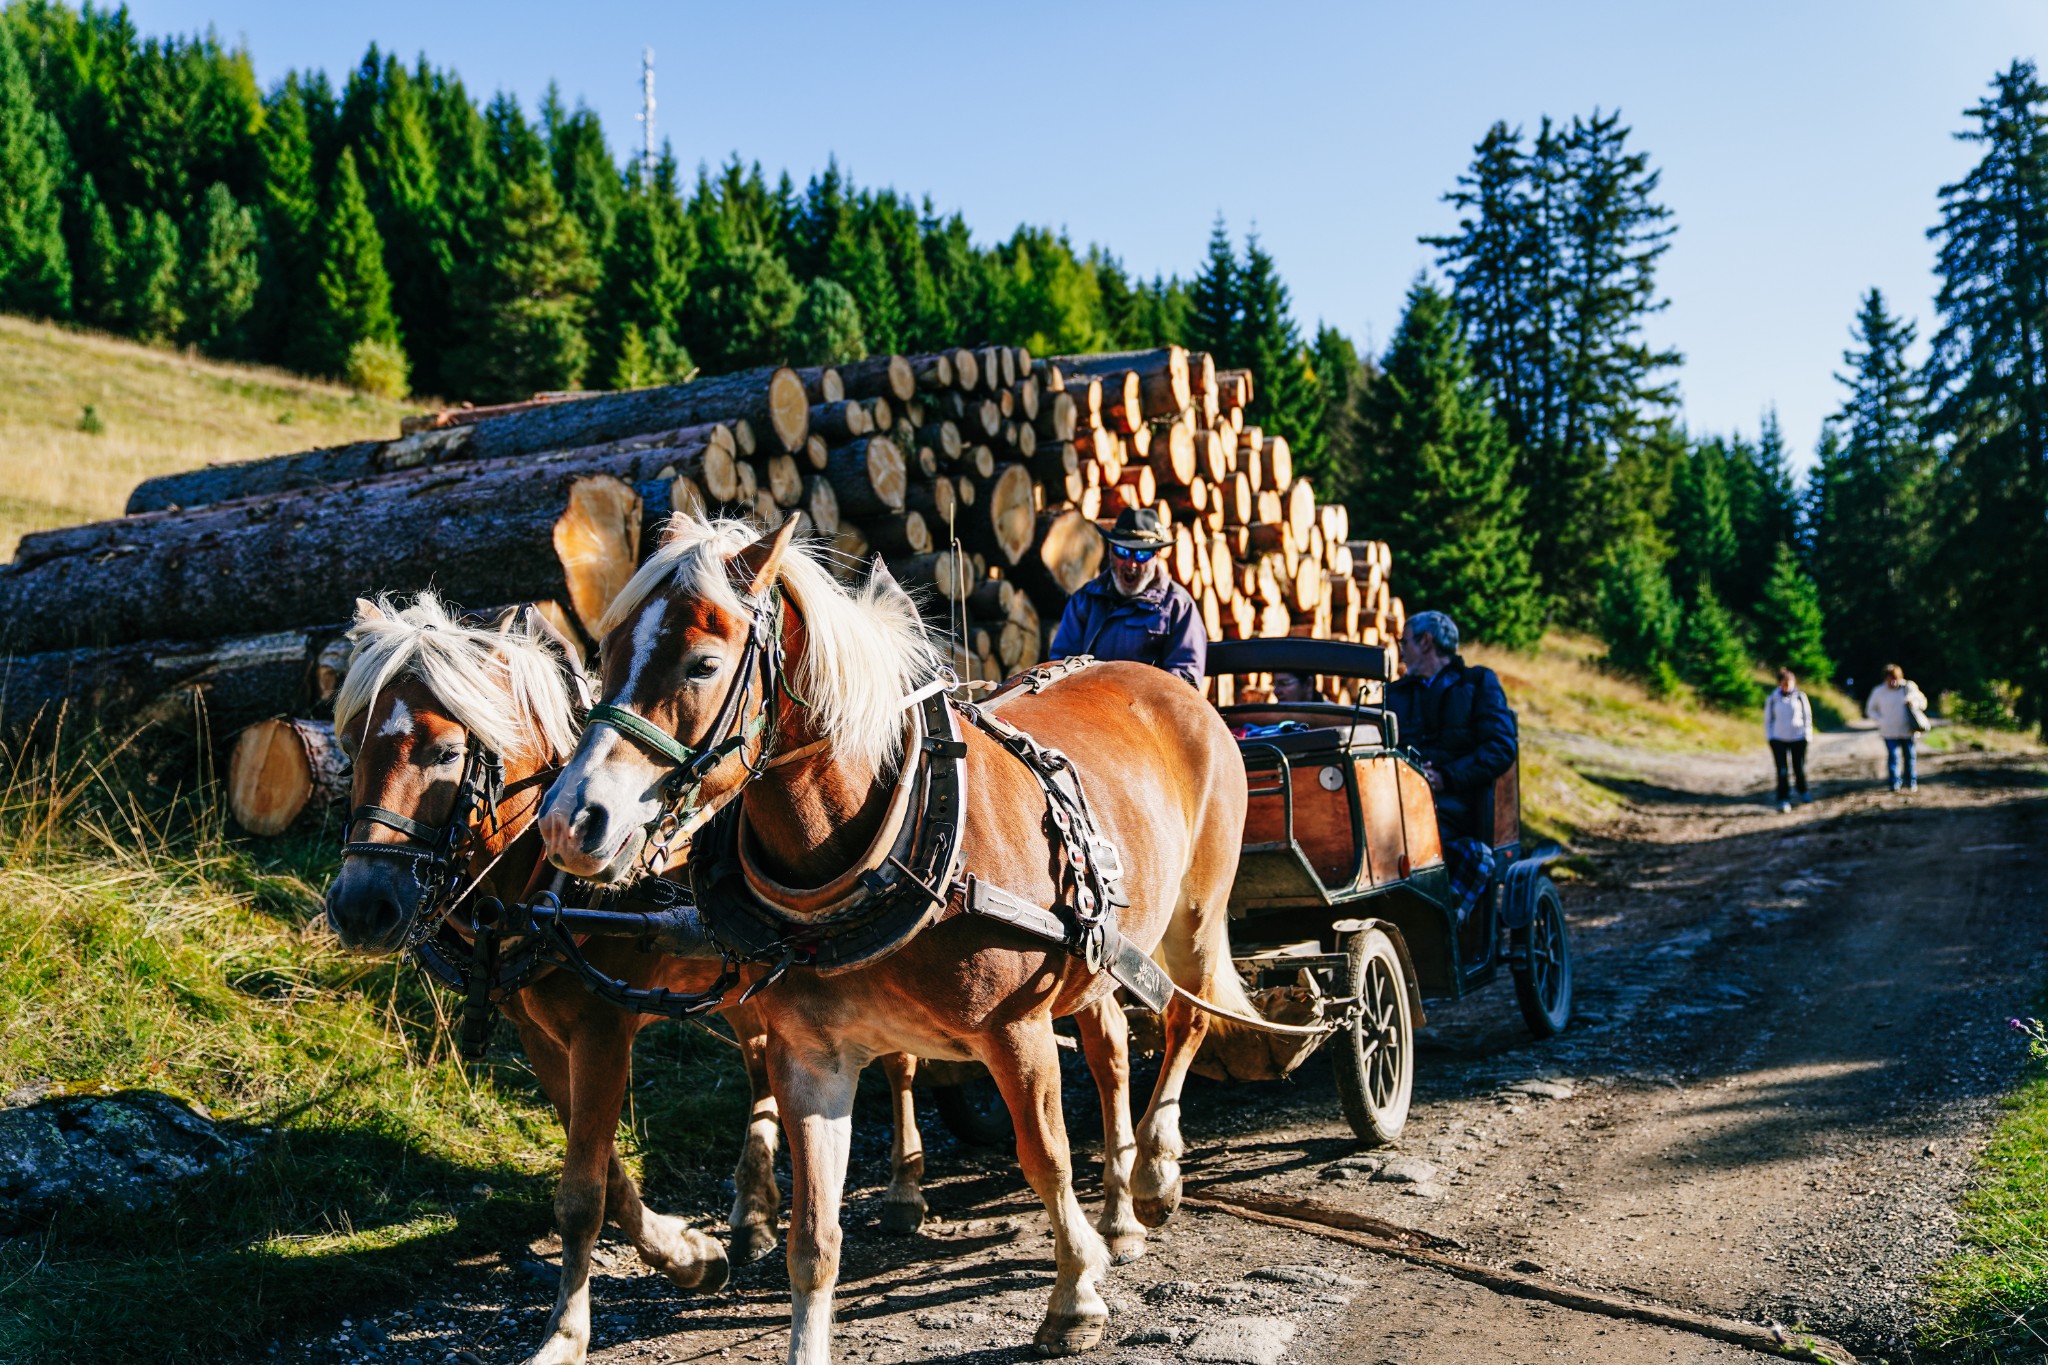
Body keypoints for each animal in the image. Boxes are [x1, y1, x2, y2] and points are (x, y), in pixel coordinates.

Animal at [323, 593, 933, 1365]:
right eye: (351, 745)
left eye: (445, 752)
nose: (359, 906)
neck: (548, 882)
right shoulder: (543, 1036)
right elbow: (607, 1179)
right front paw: (690, 1256)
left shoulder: (602, 1029)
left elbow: (581, 1195)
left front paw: (564, 1333)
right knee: (761, 1063)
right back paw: (753, 1208)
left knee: (900, 1062)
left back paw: (904, 1187)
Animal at [536, 517, 1245, 1358]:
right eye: (605, 656)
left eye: (702, 663)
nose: (569, 821)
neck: (889, 850)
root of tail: (1169, 686)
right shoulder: (811, 1056)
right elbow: (814, 1238)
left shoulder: (1015, 1029)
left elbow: (1044, 1155)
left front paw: (1075, 1293)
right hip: (1099, 954)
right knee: (1108, 1052)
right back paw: (1120, 1213)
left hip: (1195, 913)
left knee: (1187, 1017)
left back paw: (1155, 1171)